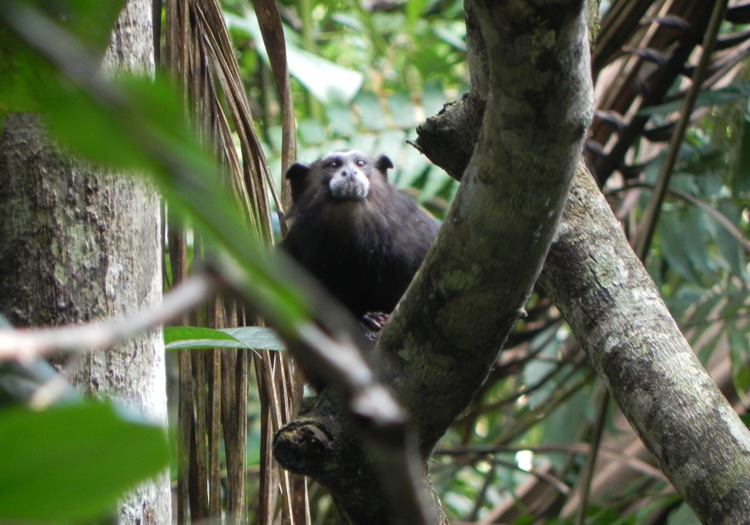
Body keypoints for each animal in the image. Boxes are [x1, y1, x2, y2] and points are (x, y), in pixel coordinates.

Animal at [281, 150, 439, 321]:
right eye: (334, 165)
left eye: (360, 163)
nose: (350, 172)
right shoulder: (296, 247)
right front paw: (371, 320)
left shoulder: (418, 234)